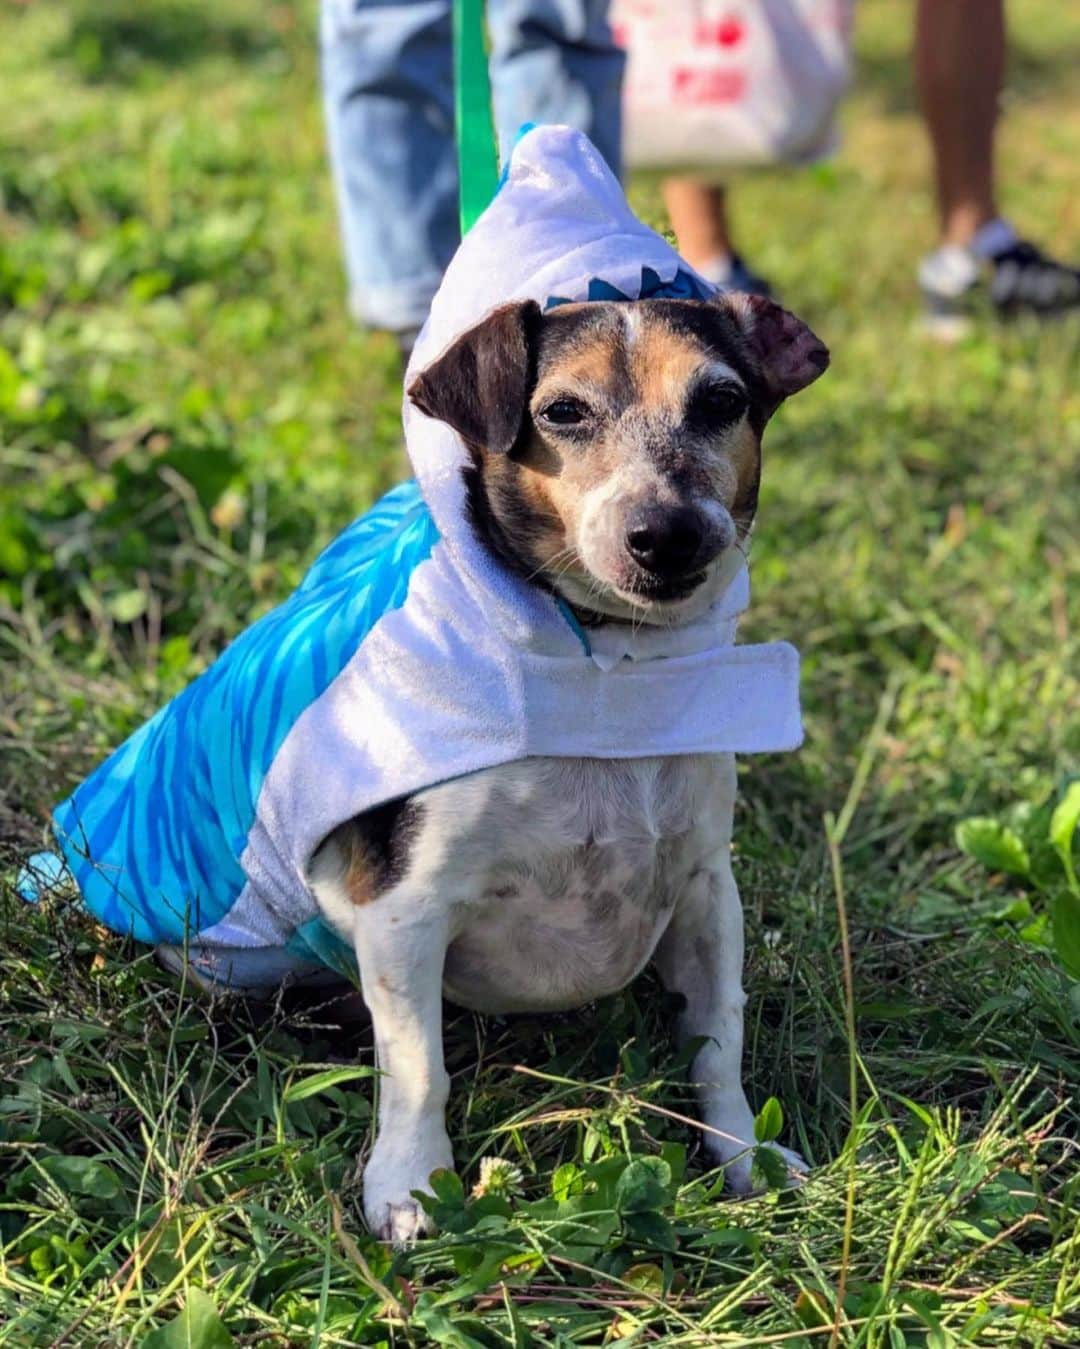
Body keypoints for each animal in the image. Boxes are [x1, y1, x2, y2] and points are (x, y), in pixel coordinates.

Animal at [307, 295, 830, 1241]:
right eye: (562, 412)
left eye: (722, 400)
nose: (668, 532)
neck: (608, 673)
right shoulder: (402, 909)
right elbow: (419, 1067)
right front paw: (408, 1185)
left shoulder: (705, 889)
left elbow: (719, 1036)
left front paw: (742, 1153)